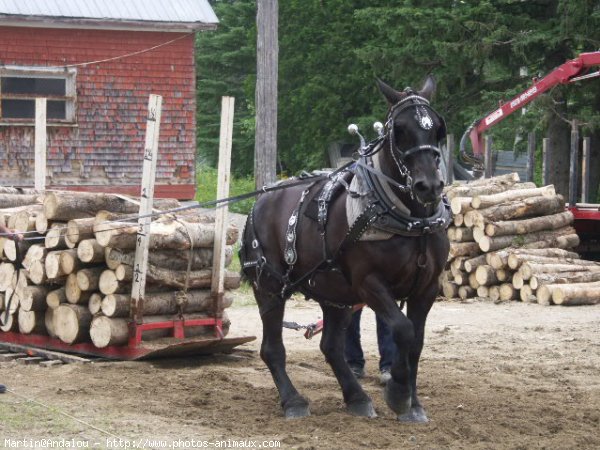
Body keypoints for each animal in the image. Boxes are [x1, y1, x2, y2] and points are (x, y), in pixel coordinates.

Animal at [239, 76, 450, 422]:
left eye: (437, 129)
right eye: (399, 130)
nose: (429, 186)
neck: (410, 219)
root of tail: (260, 201)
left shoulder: (427, 287)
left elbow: (416, 343)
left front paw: (414, 404)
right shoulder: (369, 284)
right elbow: (403, 330)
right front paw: (399, 394)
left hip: (334, 293)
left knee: (331, 347)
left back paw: (357, 398)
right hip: (269, 287)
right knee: (272, 348)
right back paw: (293, 401)